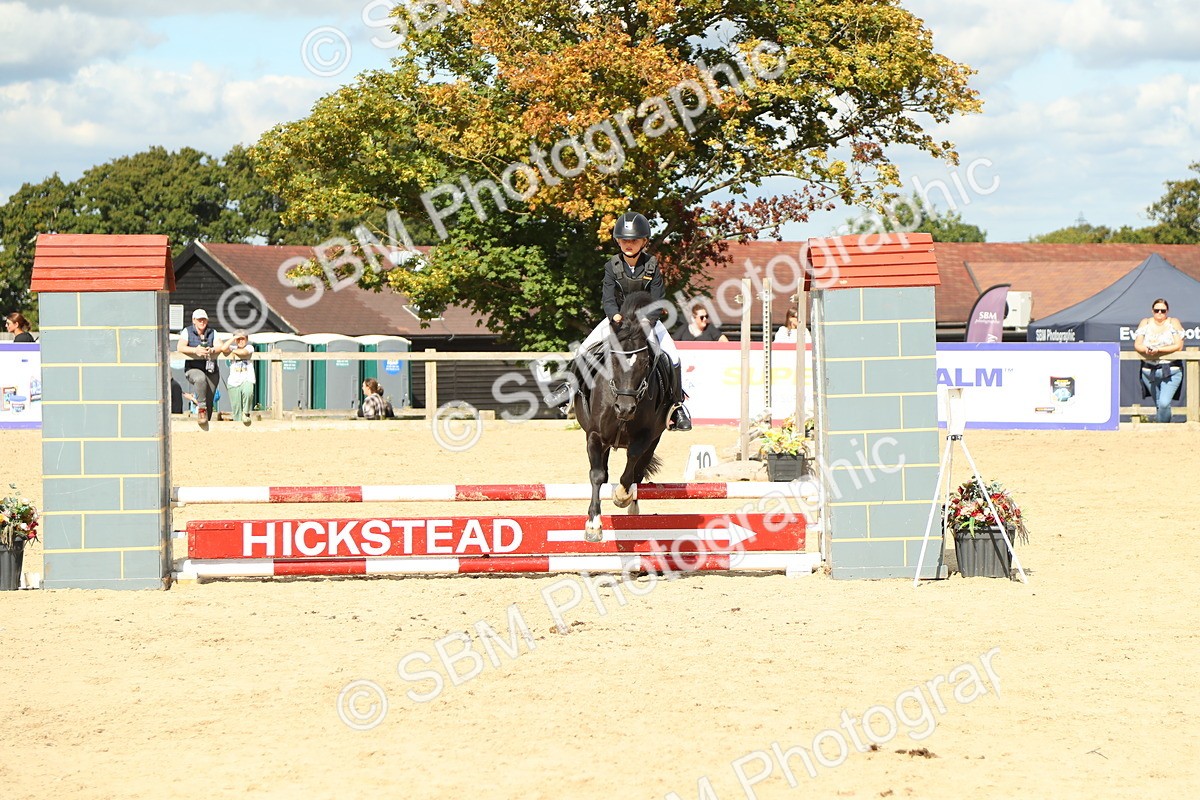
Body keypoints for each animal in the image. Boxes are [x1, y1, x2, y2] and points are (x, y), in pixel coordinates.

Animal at [570, 291, 676, 542]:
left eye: (645, 363)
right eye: (613, 361)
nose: (625, 409)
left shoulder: (646, 436)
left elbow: (631, 470)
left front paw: (621, 496)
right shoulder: (595, 435)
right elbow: (597, 475)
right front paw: (593, 524)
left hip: (654, 441)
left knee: (638, 471)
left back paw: (632, 507)